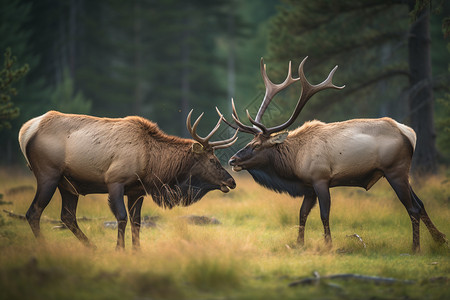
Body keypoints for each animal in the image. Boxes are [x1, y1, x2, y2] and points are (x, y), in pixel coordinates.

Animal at [19, 109, 237, 248]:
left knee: (67, 216)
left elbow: (137, 222)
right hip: (48, 174)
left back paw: (91, 247)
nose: (231, 181)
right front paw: (120, 249)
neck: (152, 163)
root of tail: (26, 131)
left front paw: (137, 251)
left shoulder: (137, 190)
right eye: (213, 160)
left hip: (68, 184)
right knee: (33, 212)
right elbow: (122, 217)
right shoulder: (115, 181)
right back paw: (45, 246)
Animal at [218, 56, 446, 251]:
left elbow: (324, 214)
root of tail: (409, 133)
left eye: (257, 146)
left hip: (395, 170)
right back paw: (440, 239)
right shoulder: (309, 186)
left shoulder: (320, 179)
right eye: (250, 142)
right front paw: (299, 243)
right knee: (420, 203)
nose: (233, 160)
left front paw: (328, 245)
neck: (294, 162)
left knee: (412, 208)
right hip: (401, 173)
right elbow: (302, 214)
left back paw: (415, 247)